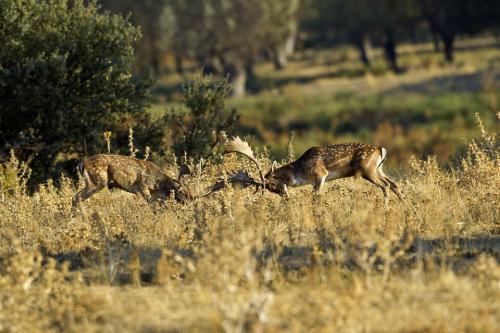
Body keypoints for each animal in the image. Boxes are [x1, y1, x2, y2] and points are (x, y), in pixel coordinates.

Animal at [70, 153, 205, 205]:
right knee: (77, 197)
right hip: (97, 181)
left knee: (75, 197)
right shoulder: (142, 186)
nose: (190, 202)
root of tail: (82, 163)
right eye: (182, 192)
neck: (157, 184)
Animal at [221, 136, 404, 208]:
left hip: (368, 169)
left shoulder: (320, 174)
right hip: (378, 168)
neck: (300, 173)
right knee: (394, 184)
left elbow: (316, 196)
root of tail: (381, 149)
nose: (286, 197)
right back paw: (405, 204)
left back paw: (386, 208)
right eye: (270, 189)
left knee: (386, 185)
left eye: (272, 184)